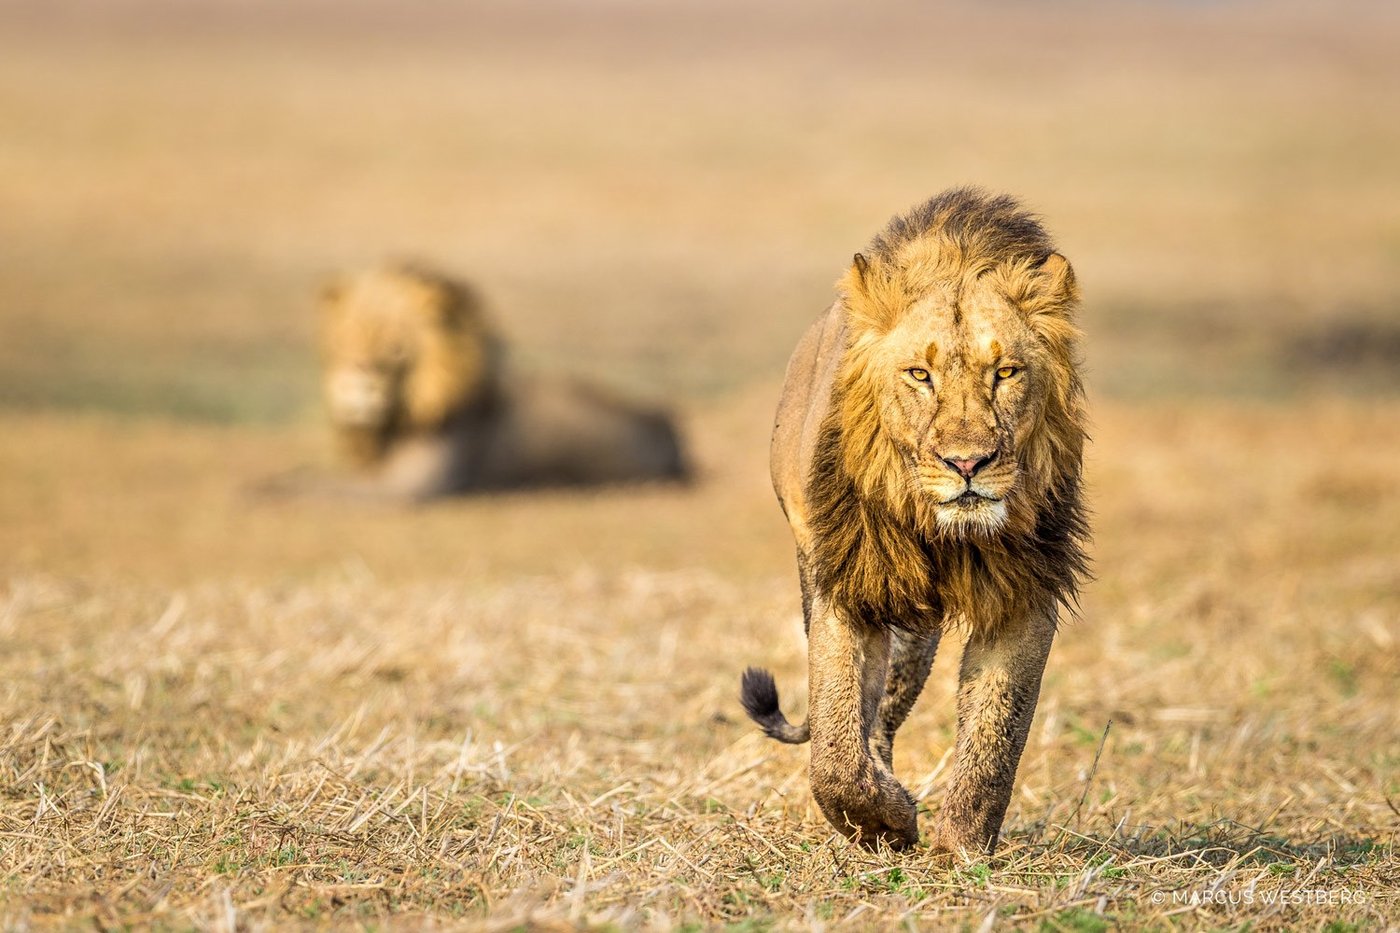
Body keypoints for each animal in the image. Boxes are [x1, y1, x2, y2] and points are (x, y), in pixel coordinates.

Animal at [283, 263, 688, 500]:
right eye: (343, 342)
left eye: (396, 348)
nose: (355, 385)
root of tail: (666, 422)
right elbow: (312, 476)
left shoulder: (410, 485)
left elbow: (317, 488)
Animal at [741, 189, 1089, 853]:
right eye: (919, 375)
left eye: (1005, 373)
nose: (968, 462)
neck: (946, 534)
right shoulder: (847, 582)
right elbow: (834, 740)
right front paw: (882, 823)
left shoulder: (1025, 590)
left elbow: (996, 731)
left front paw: (961, 848)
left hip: (916, 631)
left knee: (885, 717)